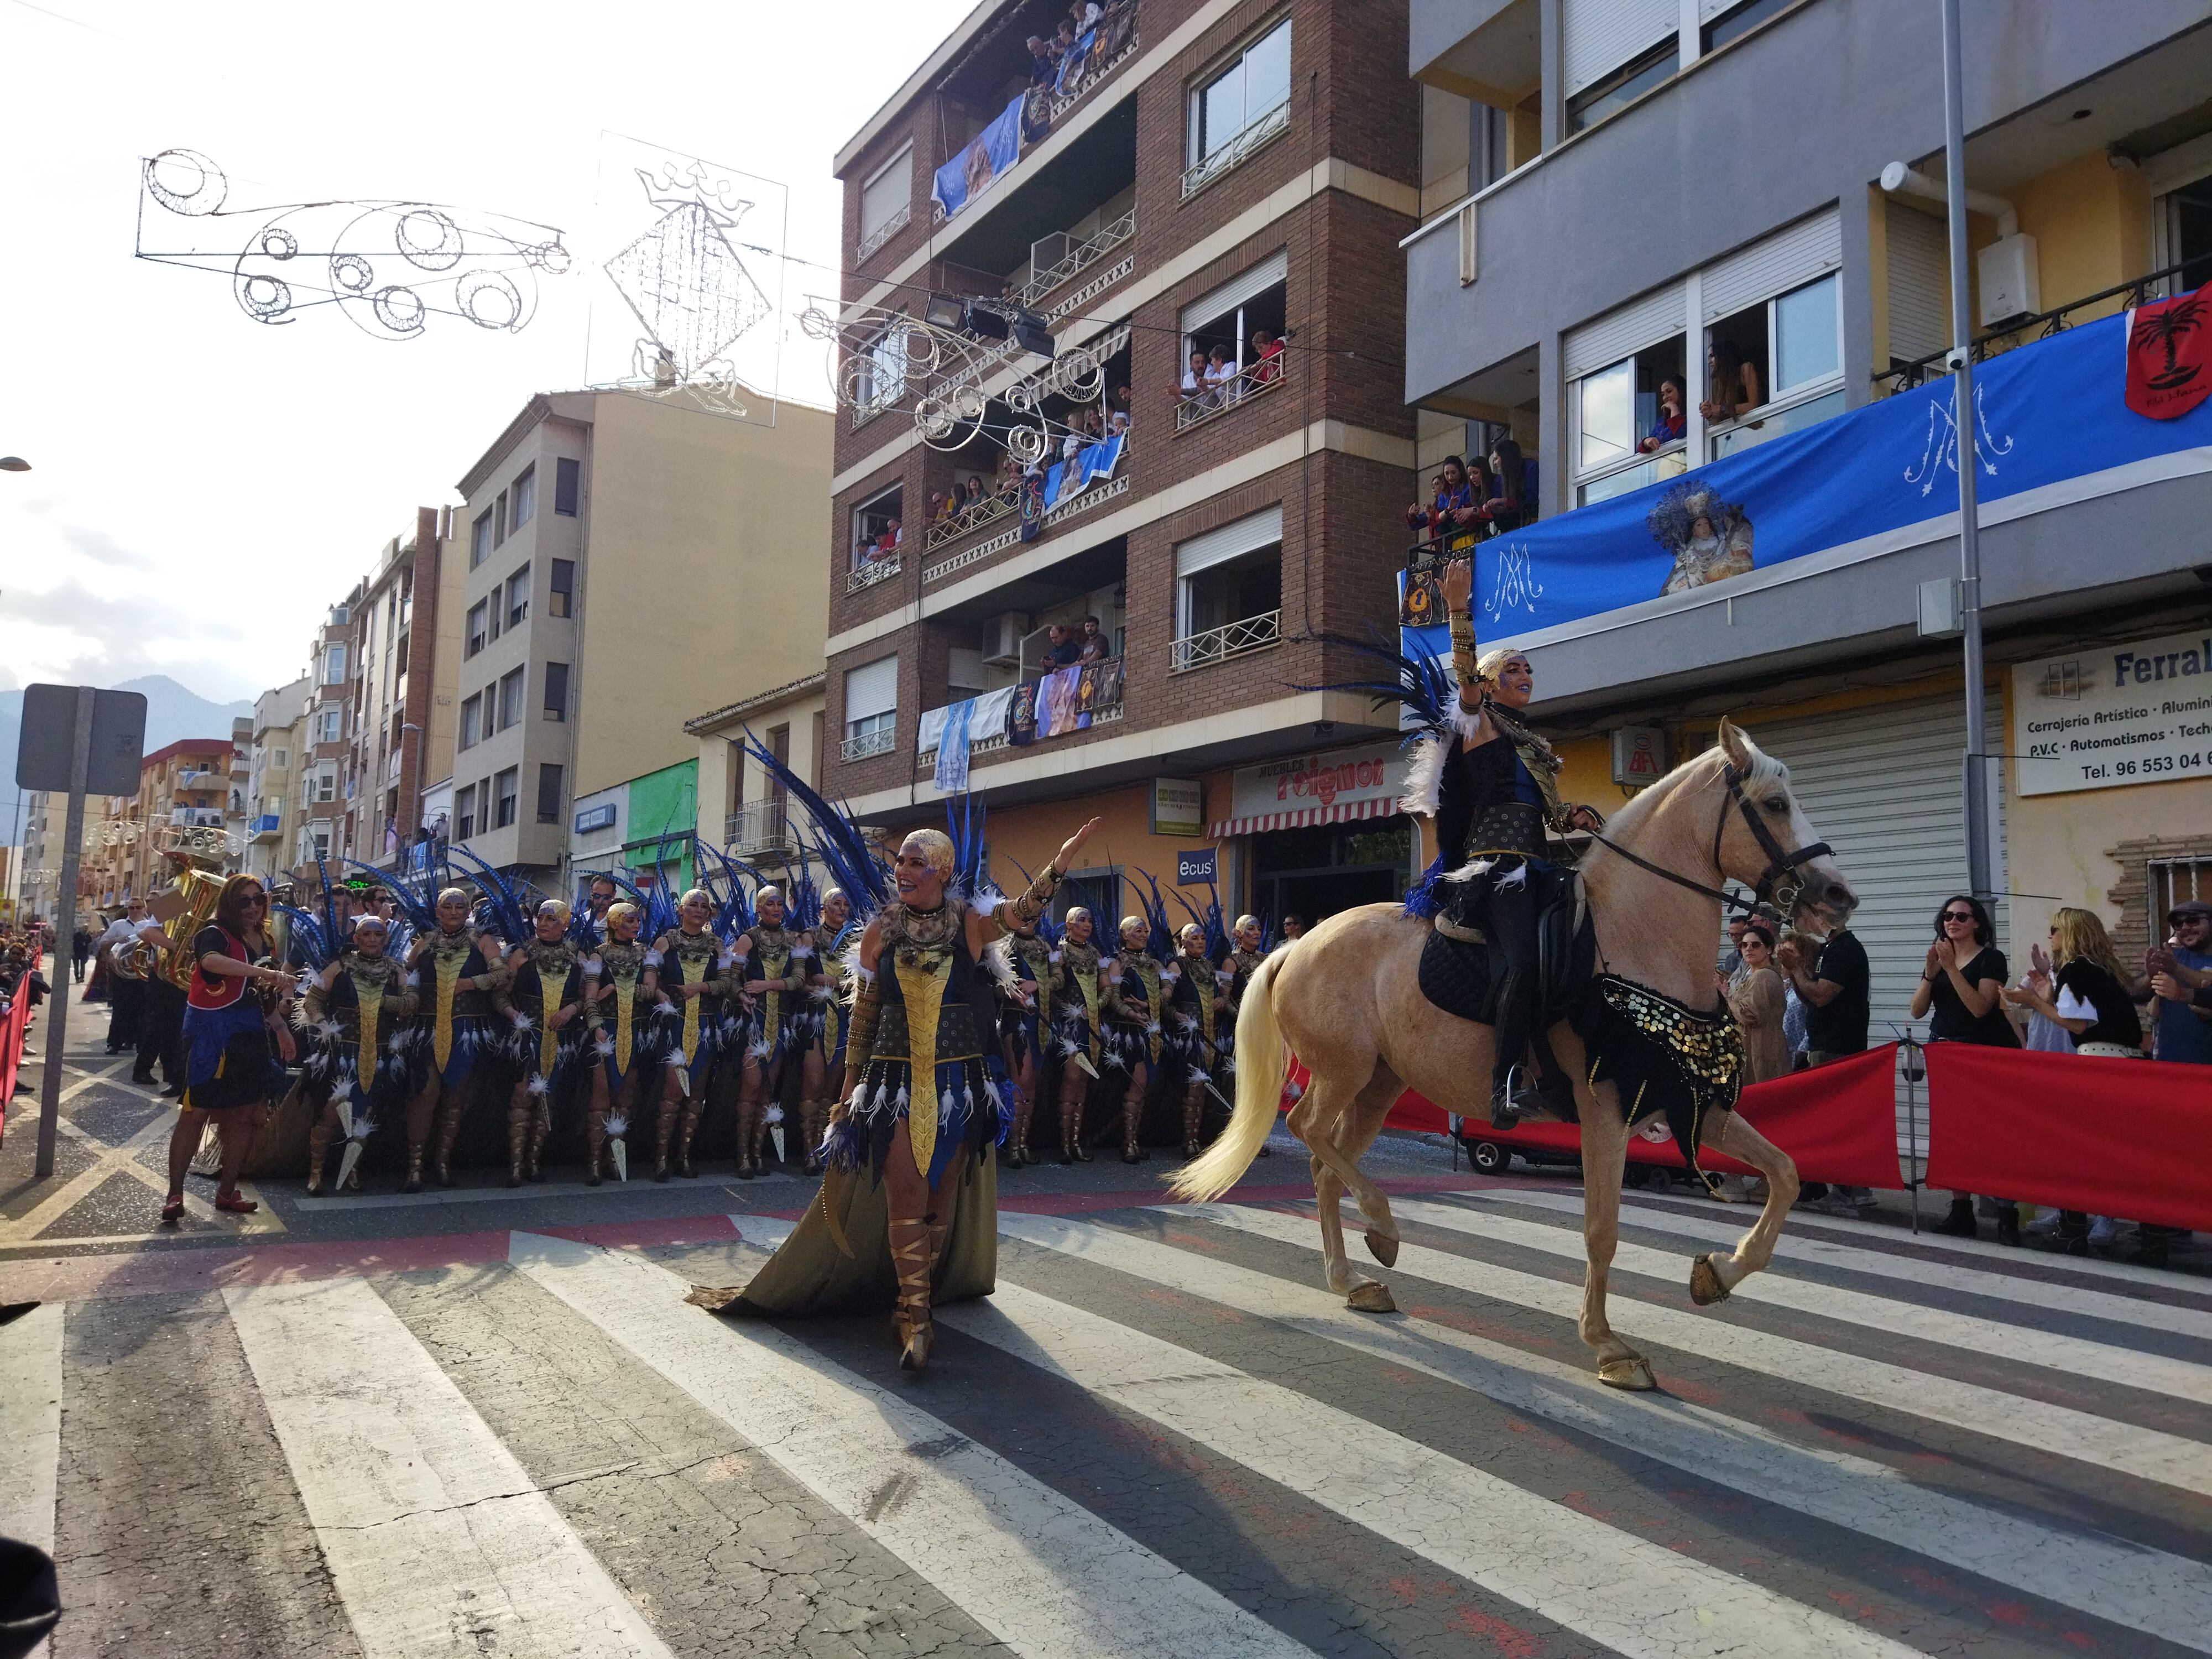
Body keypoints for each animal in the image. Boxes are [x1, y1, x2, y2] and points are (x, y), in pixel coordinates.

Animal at [1168, 726, 1858, 1389]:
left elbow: (1785, 1174)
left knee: (1325, 1164)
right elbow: (1601, 1229)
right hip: (1345, 1072)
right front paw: (1609, 1347)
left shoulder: (1690, 1103)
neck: (1636, 939)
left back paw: (1354, 1278)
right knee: (1305, 1129)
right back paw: (1382, 1226)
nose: (1837, 895)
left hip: (1380, 1085)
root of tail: (1296, 946)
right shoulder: (1605, 1112)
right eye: (1775, 804)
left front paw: (1718, 1272)